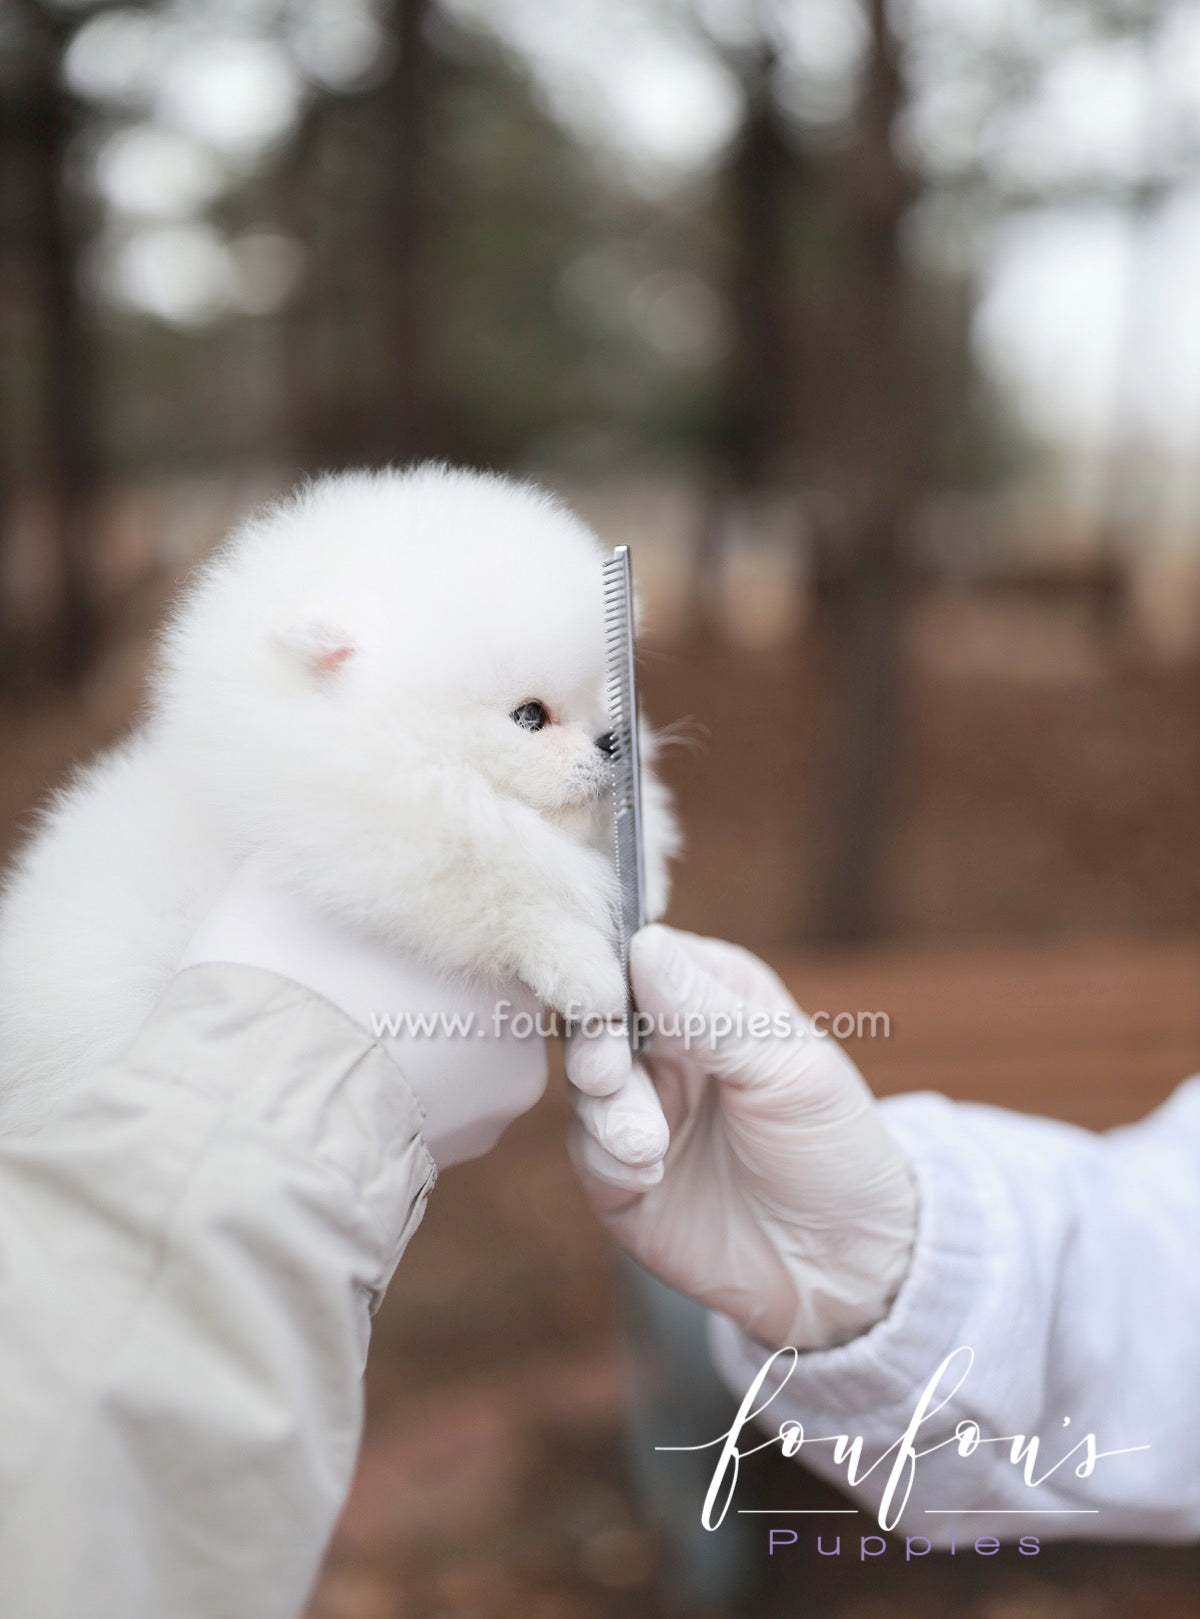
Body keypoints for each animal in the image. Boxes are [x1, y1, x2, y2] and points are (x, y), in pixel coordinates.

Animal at [0, 463, 680, 1133]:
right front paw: (586, 969)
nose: (612, 740)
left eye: (606, 699)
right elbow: (490, 896)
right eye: (530, 716)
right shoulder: (375, 844)